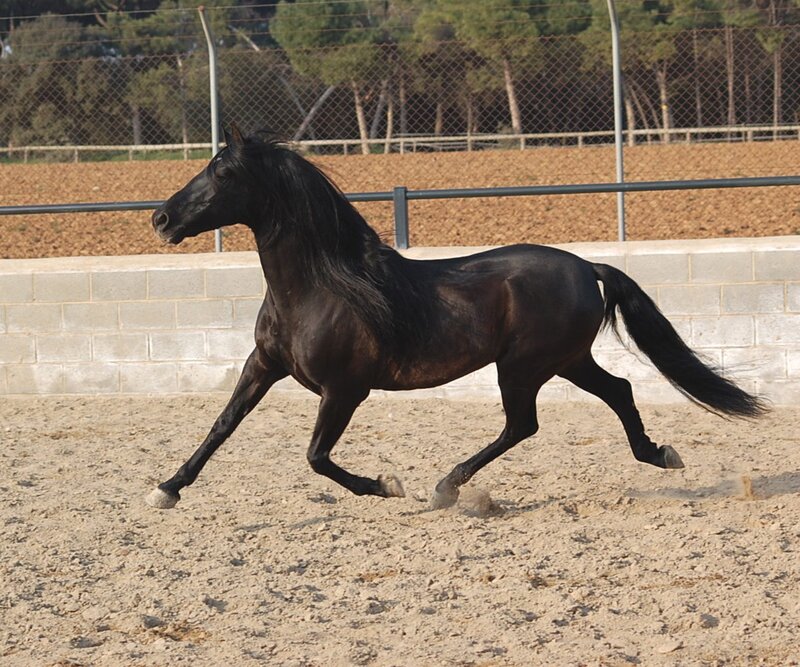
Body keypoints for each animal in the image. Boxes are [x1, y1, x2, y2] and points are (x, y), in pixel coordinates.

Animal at [145, 124, 767, 511]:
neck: (320, 287)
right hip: (566, 360)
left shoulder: (344, 390)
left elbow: (317, 457)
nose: (161, 218)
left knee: (524, 424)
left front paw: (387, 485)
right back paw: (659, 453)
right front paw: (167, 488)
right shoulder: (263, 365)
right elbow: (222, 425)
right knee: (617, 390)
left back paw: (445, 487)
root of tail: (585, 266)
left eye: (223, 173)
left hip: (524, 366)